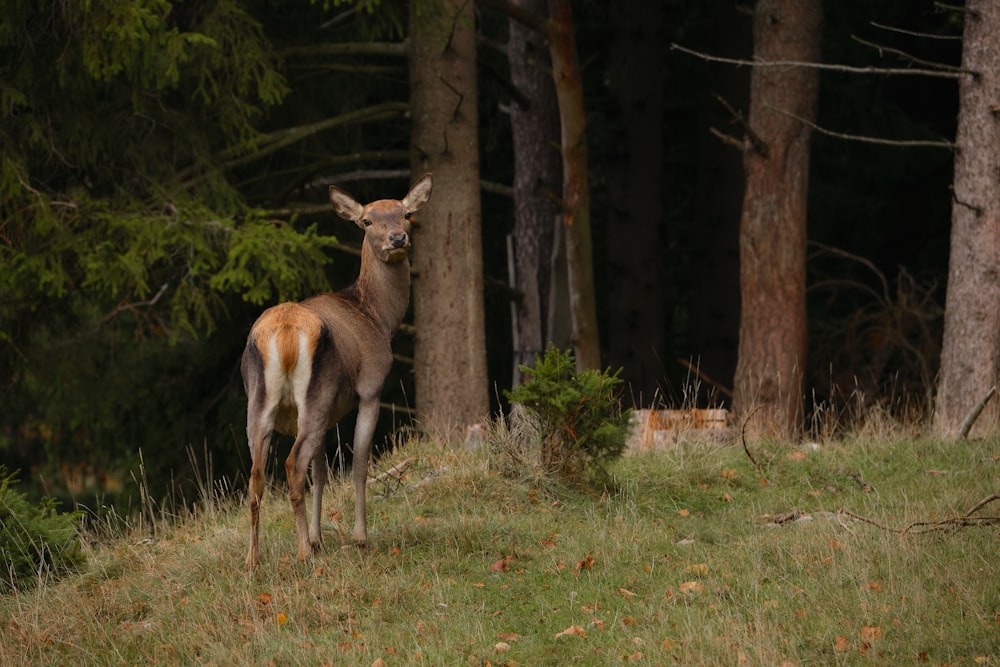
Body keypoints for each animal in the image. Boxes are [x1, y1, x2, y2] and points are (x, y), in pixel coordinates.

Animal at [242, 175, 434, 572]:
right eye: (367, 221)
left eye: (405, 214)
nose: (397, 238)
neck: (378, 317)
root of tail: (285, 332)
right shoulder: (371, 387)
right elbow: (359, 463)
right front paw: (358, 538)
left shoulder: (329, 412)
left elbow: (322, 472)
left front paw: (318, 539)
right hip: (316, 392)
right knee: (292, 465)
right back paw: (302, 555)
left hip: (261, 402)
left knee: (257, 476)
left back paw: (254, 558)